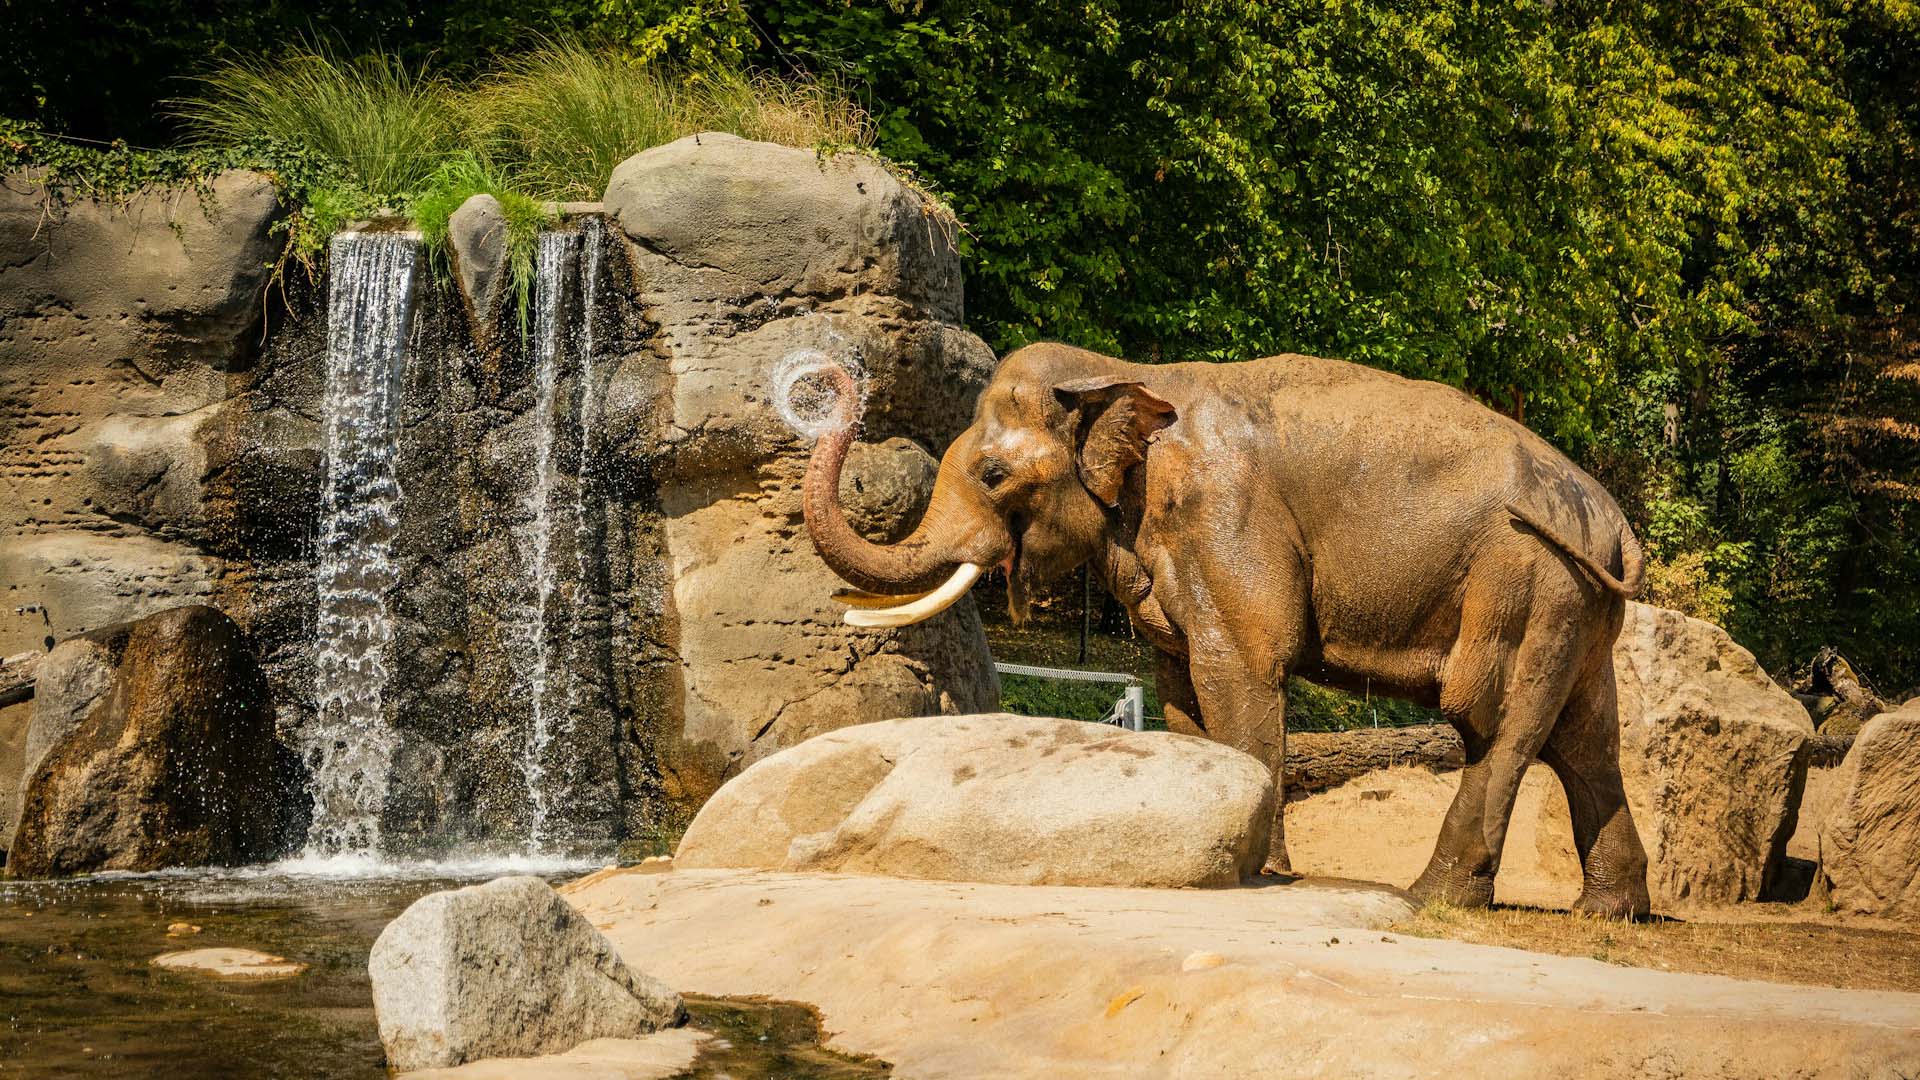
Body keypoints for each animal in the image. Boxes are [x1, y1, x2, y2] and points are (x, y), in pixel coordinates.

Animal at [800, 341, 1653, 917]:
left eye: (993, 475)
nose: (827, 379)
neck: (1122, 371)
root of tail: (1614, 519)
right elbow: (1181, 688)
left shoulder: (1224, 519)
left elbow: (1240, 667)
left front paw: (1262, 875)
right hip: (1575, 604)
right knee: (1584, 737)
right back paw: (1609, 910)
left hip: (1526, 577)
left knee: (1491, 719)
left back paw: (1436, 895)